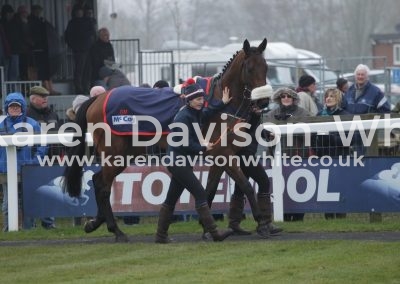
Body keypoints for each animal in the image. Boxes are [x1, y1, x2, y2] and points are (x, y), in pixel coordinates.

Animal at [62, 38, 268, 242]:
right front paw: (261, 220)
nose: (264, 102)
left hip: (126, 153)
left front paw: (206, 227)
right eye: (250, 68)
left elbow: (210, 189)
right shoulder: (223, 153)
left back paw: (95, 223)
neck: (219, 104)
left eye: (265, 67)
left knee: (98, 180)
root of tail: (98, 99)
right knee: (103, 186)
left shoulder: (219, 154)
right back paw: (117, 231)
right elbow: (246, 185)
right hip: (114, 153)